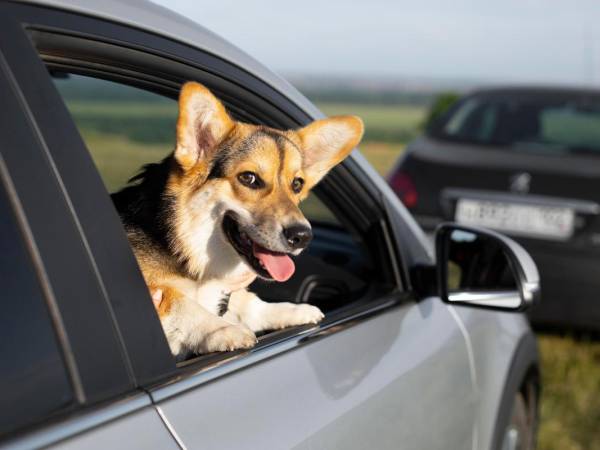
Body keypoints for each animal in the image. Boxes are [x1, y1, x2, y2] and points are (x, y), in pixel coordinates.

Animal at [113, 82, 366, 360]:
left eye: (297, 184)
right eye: (249, 179)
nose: (302, 236)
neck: (185, 245)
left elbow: (249, 303)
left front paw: (292, 310)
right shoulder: (153, 291)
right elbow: (181, 302)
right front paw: (221, 330)